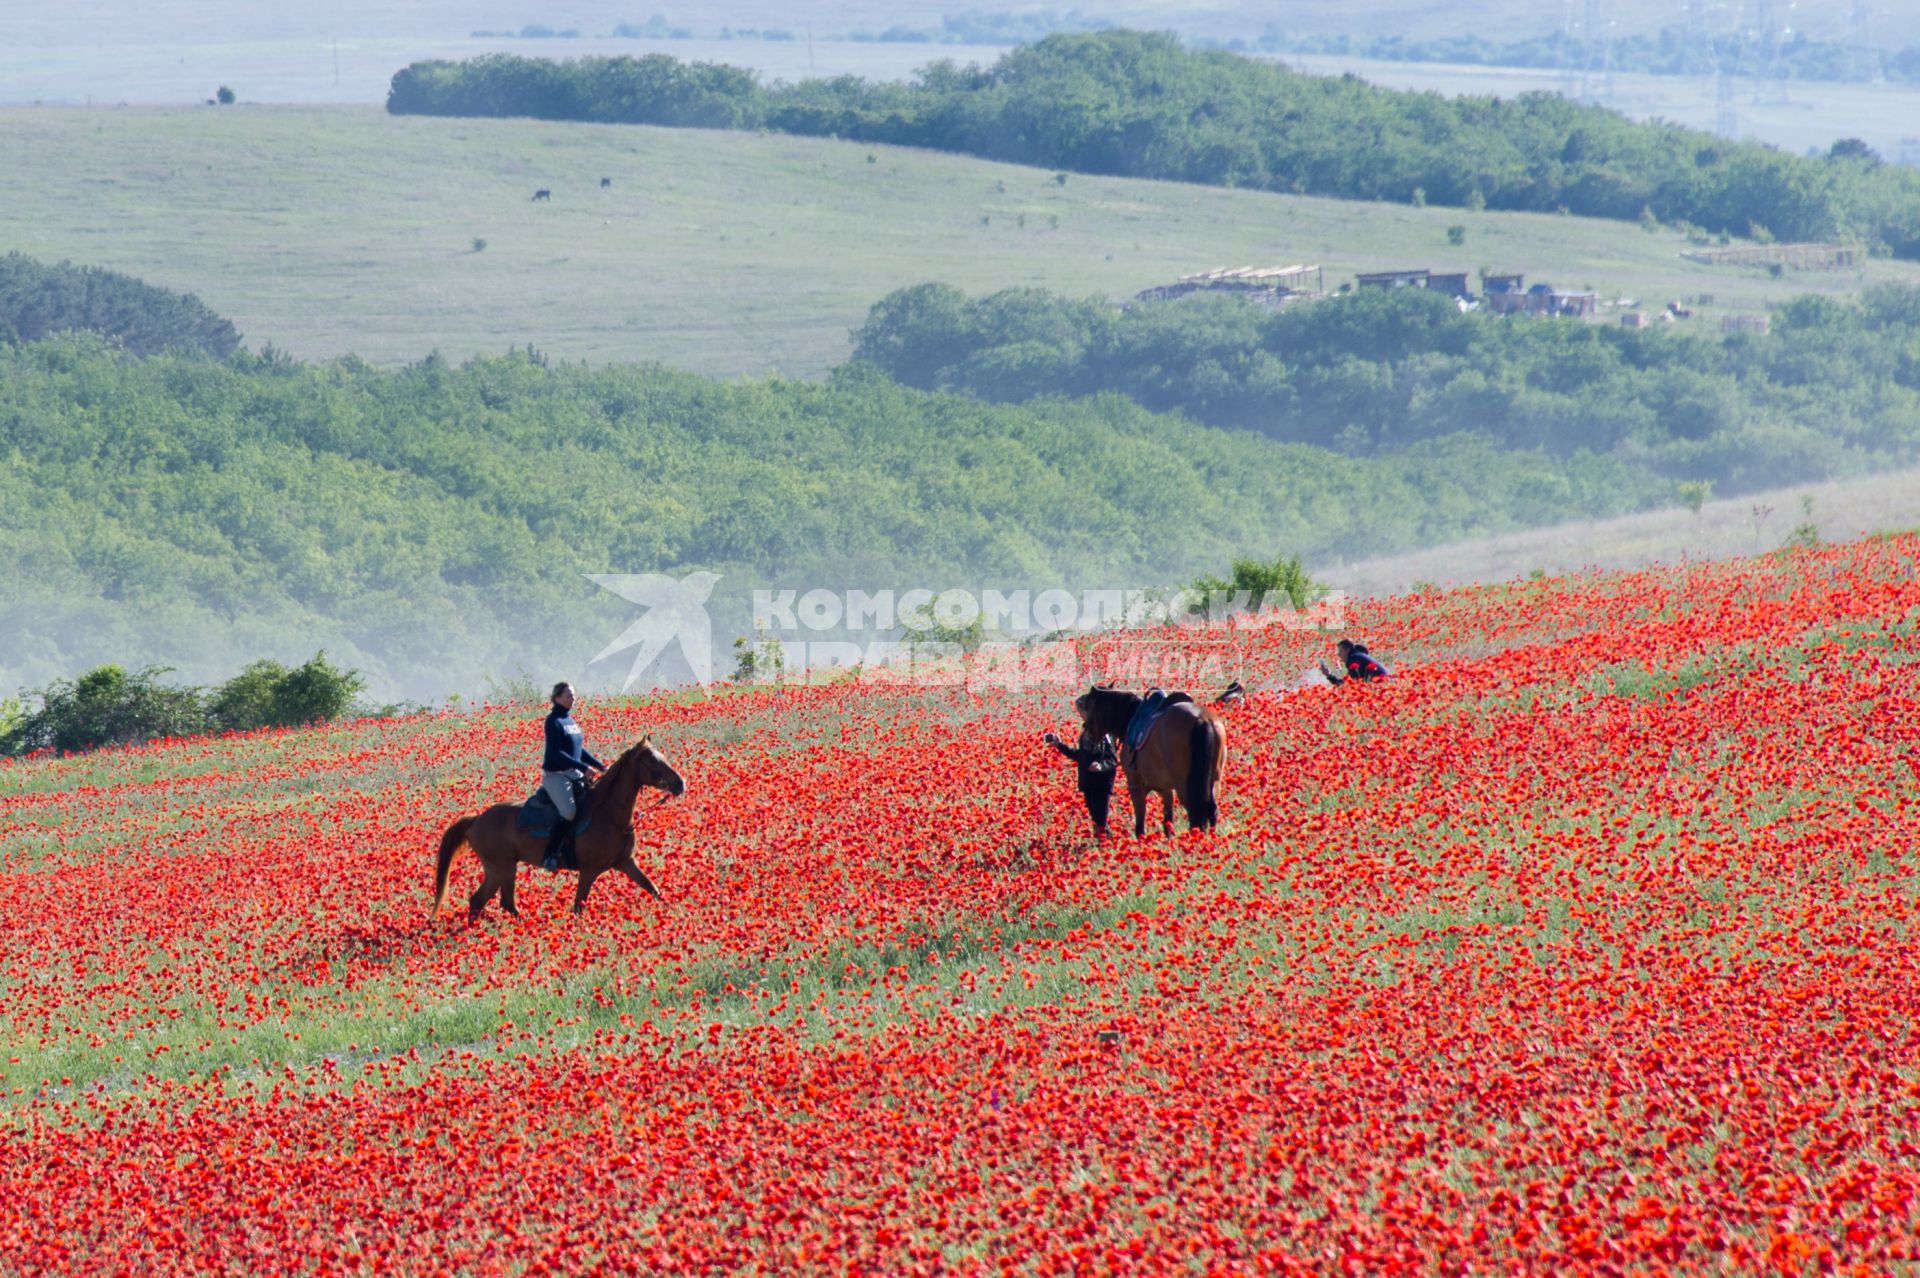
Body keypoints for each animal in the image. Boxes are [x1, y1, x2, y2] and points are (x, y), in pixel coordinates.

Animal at [433, 733, 683, 921]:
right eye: (652, 760)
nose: (680, 783)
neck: (609, 815)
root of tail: (476, 820)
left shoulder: (625, 862)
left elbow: (653, 889)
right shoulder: (589, 870)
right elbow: (578, 905)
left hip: (497, 869)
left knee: (480, 900)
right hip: (503, 866)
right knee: (504, 903)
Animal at [1082, 683, 1228, 832]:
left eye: (1090, 708)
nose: (1087, 736)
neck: (1130, 718)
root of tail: (1202, 719)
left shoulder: (1135, 784)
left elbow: (1140, 824)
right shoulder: (1165, 787)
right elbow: (1168, 821)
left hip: (1185, 784)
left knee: (1196, 811)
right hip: (1214, 780)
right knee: (1211, 810)